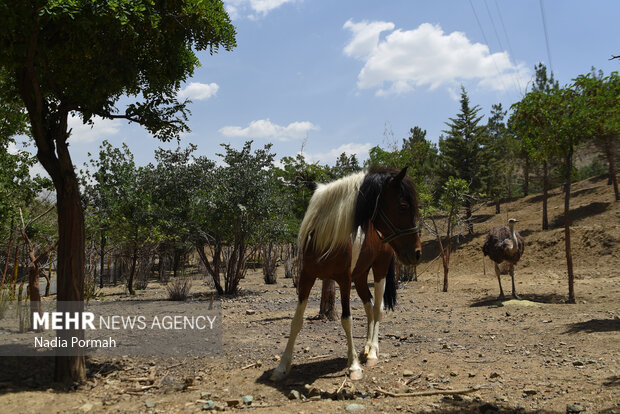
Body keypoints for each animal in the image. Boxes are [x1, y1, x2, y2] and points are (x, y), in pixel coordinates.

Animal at [272, 167, 422, 380]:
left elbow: (347, 320)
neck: (325, 236)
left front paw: (354, 366)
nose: (417, 253)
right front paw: (282, 366)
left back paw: (373, 352)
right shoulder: (306, 278)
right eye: (403, 206)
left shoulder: (343, 281)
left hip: (380, 270)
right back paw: (366, 348)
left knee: (378, 309)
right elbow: (296, 321)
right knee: (369, 306)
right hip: (359, 277)